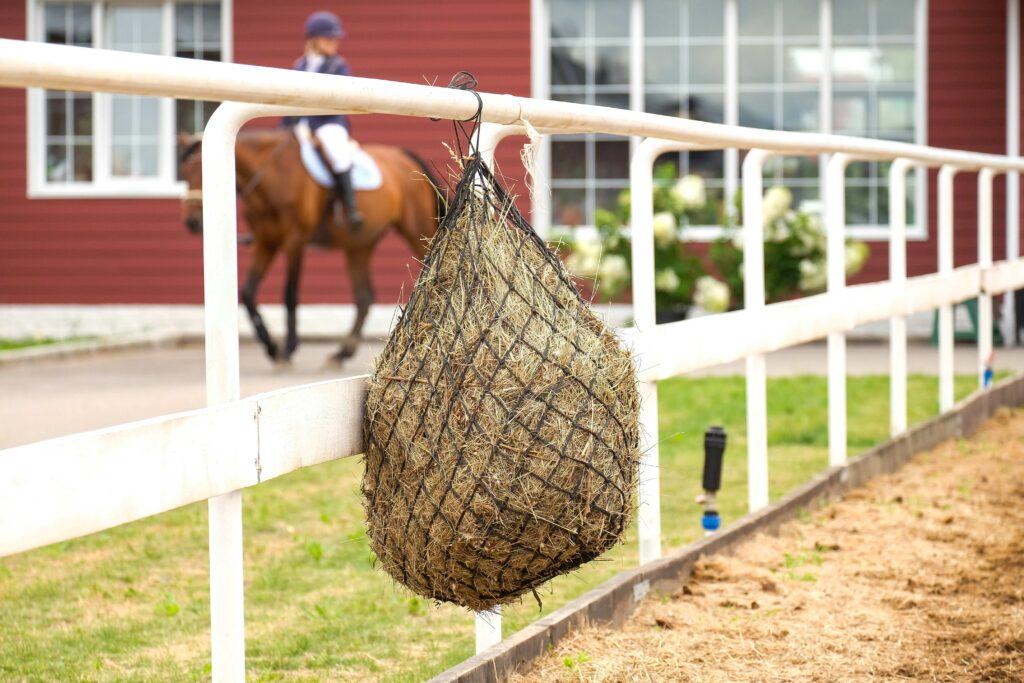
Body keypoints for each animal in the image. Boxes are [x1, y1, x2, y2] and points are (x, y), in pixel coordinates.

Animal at [180, 129, 444, 362]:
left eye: (204, 172)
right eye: (183, 173)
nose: (193, 222)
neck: (273, 175)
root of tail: (403, 155)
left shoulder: (294, 241)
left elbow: (290, 294)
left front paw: (288, 348)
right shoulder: (266, 243)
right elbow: (248, 293)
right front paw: (271, 346)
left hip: (418, 231)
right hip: (359, 245)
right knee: (365, 297)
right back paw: (343, 353)